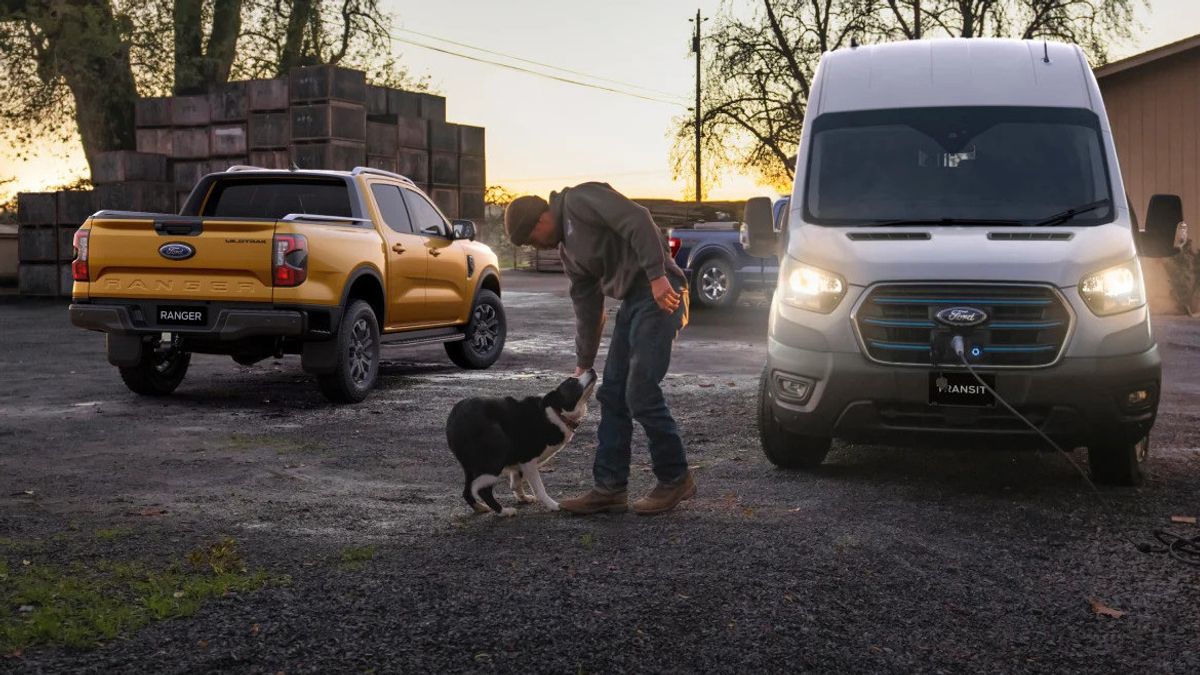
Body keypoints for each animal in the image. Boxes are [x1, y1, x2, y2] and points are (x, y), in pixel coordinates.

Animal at [448, 367, 597, 514]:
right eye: (572, 381)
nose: (592, 369)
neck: (557, 413)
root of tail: (454, 418)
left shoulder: (519, 462)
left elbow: (516, 482)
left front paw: (523, 498)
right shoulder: (528, 460)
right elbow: (539, 488)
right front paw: (552, 504)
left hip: (470, 466)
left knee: (467, 491)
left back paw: (480, 507)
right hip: (496, 455)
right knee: (483, 490)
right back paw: (504, 511)